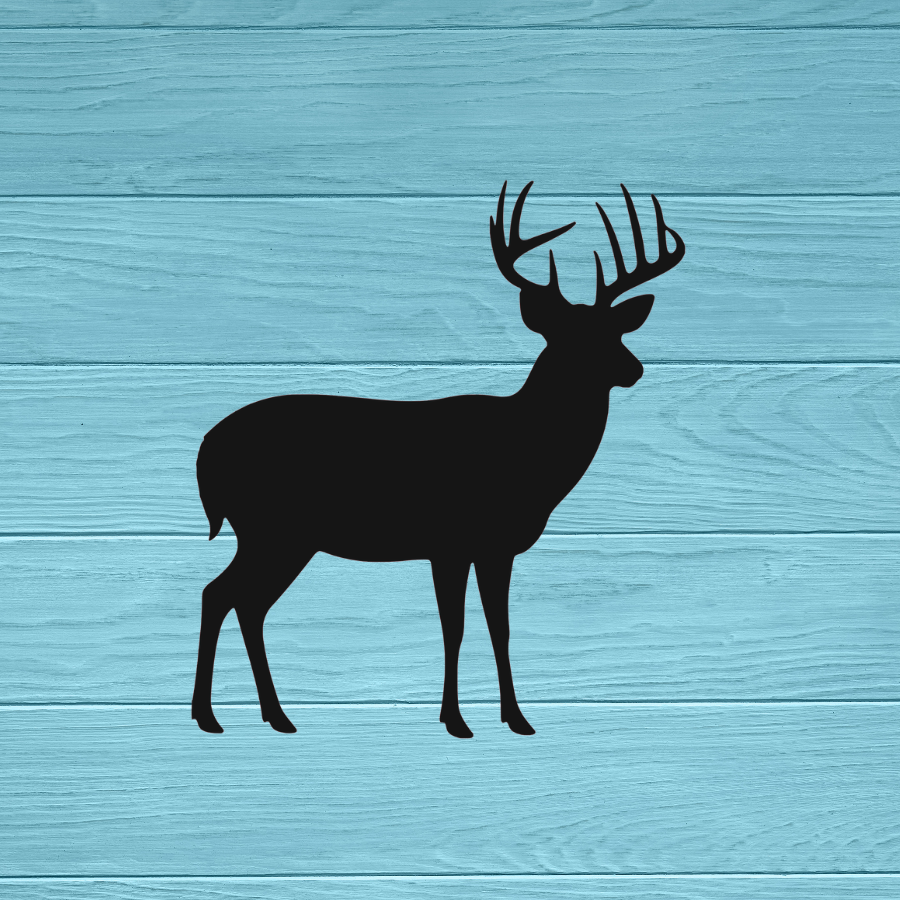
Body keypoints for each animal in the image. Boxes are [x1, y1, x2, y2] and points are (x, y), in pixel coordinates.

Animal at [191, 181, 685, 738]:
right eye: (570, 338)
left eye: (616, 332)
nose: (634, 368)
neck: (527, 454)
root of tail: (207, 451)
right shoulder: (449, 540)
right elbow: (457, 626)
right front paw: (456, 720)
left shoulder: (495, 548)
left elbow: (499, 627)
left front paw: (515, 718)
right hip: (272, 528)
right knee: (224, 595)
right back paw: (218, 716)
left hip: (278, 535)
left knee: (239, 601)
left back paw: (270, 716)